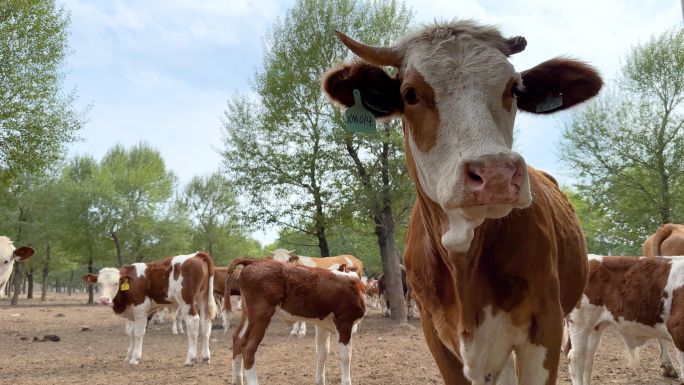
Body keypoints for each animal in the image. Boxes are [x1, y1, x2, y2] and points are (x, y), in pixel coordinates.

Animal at [82, 250, 216, 364]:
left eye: (116, 283)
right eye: (99, 283)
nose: (104, 300)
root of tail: (196, 255)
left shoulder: (140, 309)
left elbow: (138, 333)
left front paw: (135, 358)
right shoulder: (132, 312)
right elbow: (130, 333)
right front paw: (129, 356)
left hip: (186, 301)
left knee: (193, 324)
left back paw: (190, 359)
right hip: (202, 299)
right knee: (206, 323)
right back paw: (205, 357)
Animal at [224, 255, 366, 384]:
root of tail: (254, 260)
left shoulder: (322, 325)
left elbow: (322, 353)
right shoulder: (345, 321)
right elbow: (346, 356)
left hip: (248, 315)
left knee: (237, 339)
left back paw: (237, 380)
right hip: (261, 315)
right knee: (248, 347)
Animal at [324, 19, 596, 382]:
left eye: (514, 88)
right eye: (410, 94)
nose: (495, 172)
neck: (462, 252)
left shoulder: (546, 326)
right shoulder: (436, 334)